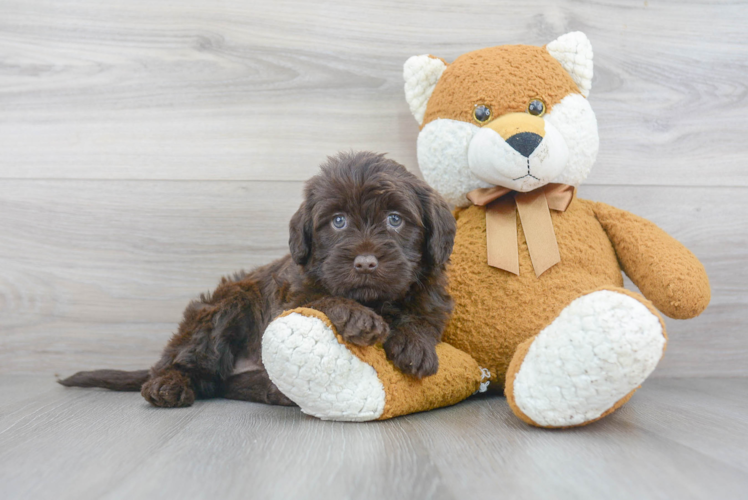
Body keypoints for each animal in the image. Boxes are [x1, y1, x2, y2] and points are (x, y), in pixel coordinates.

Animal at [61, 150, 456, 408]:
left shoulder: (431, 295)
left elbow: (424, 317)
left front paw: (415, 344)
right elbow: (321, 299)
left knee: (220, 384)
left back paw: (270, 390)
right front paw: (358, 317)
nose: (365, 263)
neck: (374, 298)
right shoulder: (290, 297)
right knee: (186, 364)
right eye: (338, 221)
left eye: (395, 219)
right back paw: (166, 385)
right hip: (225, 305)